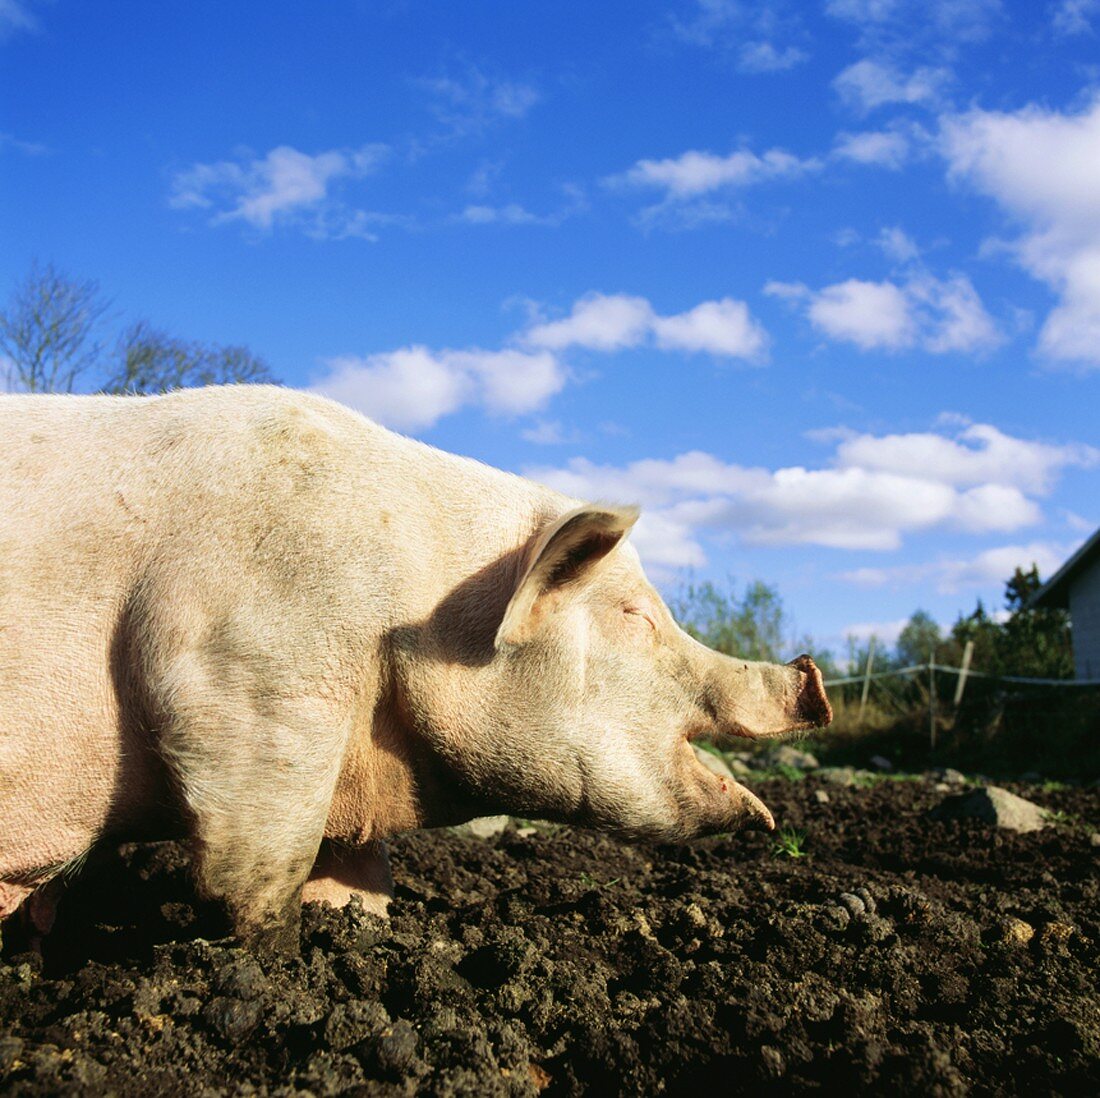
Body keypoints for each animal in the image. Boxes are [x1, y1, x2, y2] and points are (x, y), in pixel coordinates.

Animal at [0, 387, 827, 954]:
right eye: (636, 615)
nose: (810, 675)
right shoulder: (248, 673)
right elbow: (258, 868)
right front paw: (270, 955)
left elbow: (359, 867)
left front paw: (358, 926)